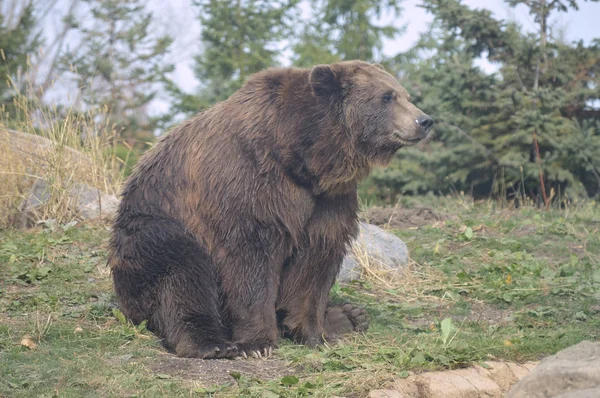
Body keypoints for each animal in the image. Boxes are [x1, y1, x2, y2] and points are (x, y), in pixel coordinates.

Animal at [109, 60, 432, 360]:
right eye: (387, 96)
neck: (304, 157)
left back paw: (349, 316)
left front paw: (315, 333)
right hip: (151, 230)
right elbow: (250, 260)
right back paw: (210, 343)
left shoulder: (327, 201)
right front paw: (257, 343)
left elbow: (315, 264)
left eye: (405, 94)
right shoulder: (251, 182)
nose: (424, 120)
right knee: (182, 271)